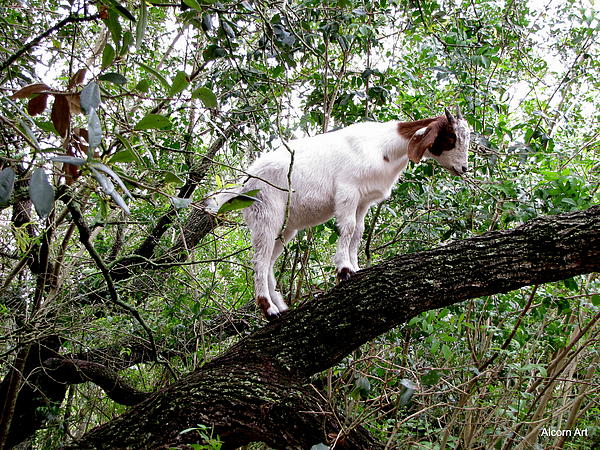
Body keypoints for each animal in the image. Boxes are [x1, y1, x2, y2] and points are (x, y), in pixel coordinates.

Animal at [209, 108, 472, 320]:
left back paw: (281, 307)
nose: (464, 168)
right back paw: (269, 309)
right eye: (451, 137)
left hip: (286, 226)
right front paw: (344, 270)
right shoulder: (348, 190)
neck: (384, 147)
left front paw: (356, 267)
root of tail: (245, 182)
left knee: (270, 260)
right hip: (266, 213)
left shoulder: (364, 200)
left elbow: (358, 232)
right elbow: (347, 228)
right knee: (259, 260)